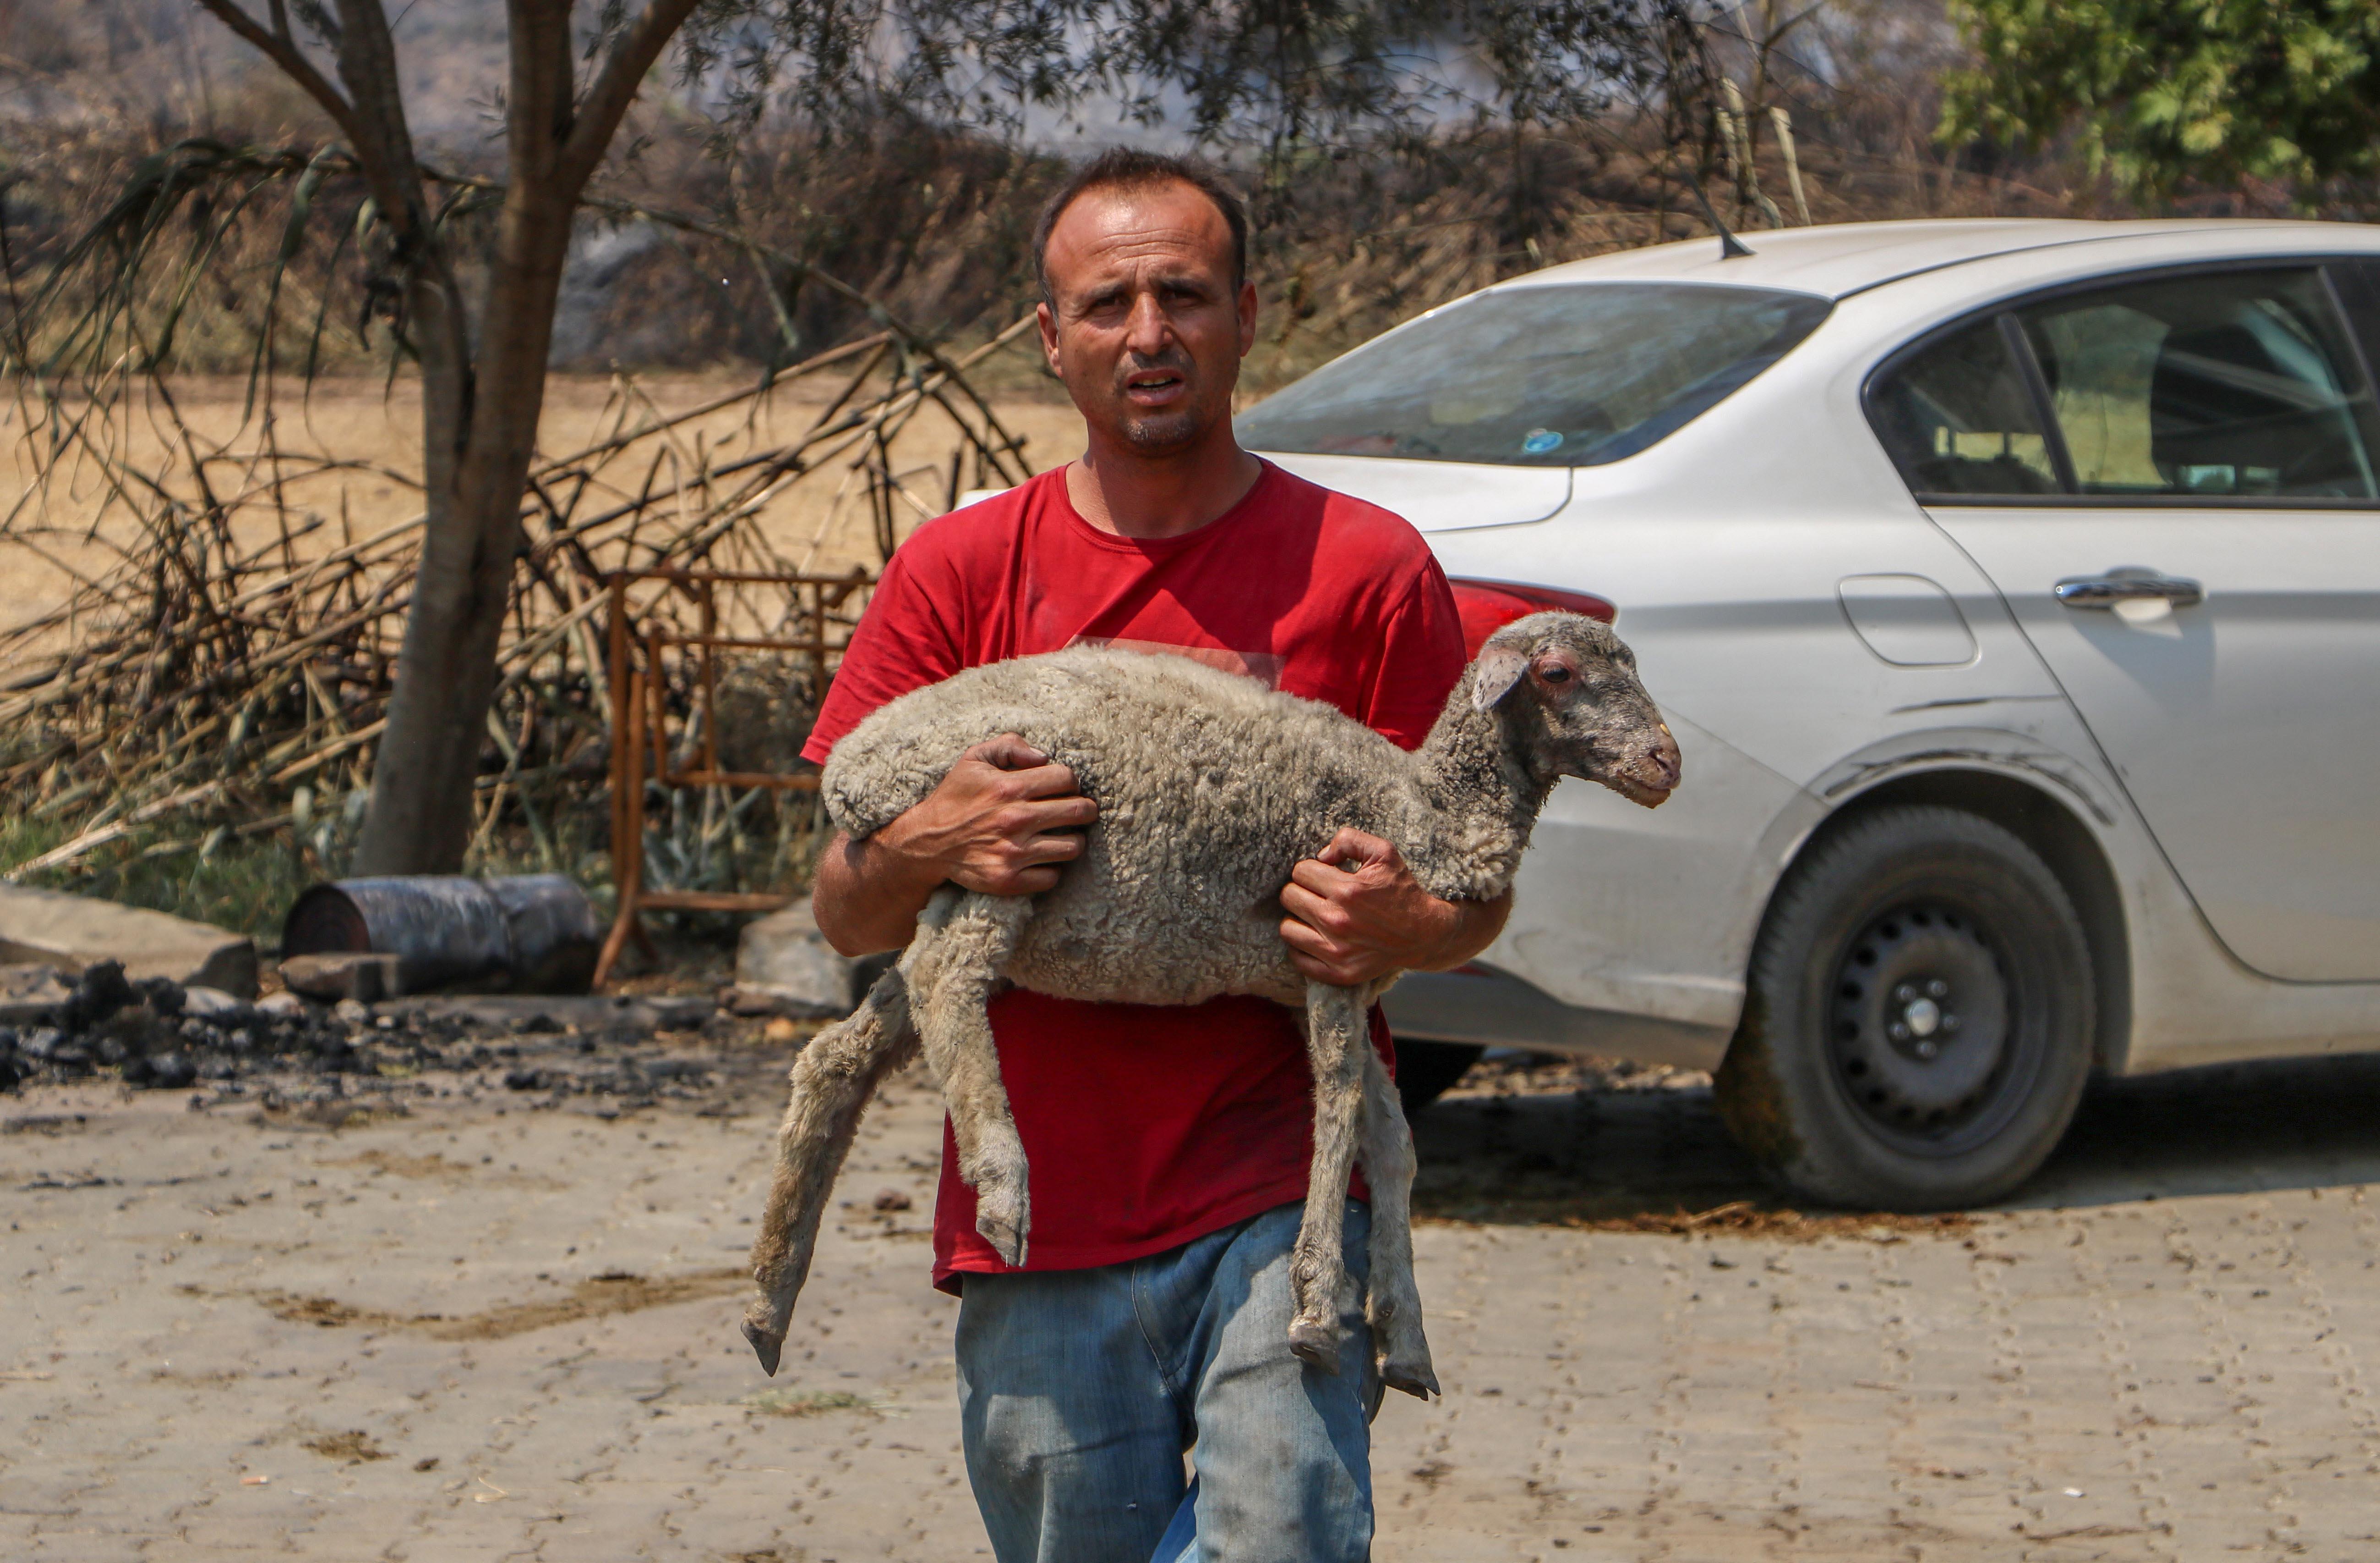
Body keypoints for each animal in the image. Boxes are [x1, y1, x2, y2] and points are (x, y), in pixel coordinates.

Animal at [733, 606, 1685, 1389]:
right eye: (1558, 672)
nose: (1666, 761)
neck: (1424, 813)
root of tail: (853, 762)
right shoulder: (1329, 956)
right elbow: (1340, 1114)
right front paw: (1315, 1309)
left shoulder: (1335, 972)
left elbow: (1393, 1144)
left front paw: (1405, 1334)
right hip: (1005, 836)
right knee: (947, 979)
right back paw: (1003, 1186)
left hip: (952, 882)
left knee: (840, 1054)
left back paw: (769, 1298)